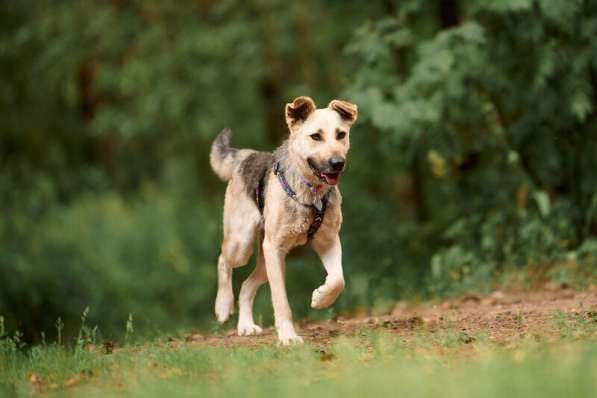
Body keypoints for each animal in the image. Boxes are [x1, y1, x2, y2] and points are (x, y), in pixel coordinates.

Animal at [210, 96, 356, 346]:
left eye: (341, 134)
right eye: (315, 136)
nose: (338, 162)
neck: (311, 193)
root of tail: (247, 156)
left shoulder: (328, 241)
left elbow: (338, 280)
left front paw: (320, 298)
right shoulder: (274, 248)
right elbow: (281, 301)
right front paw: (288, 336)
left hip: (267, 261)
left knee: (246, 286)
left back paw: (246, 326)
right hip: (243, 245)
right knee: (223, 260)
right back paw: (223, 306)